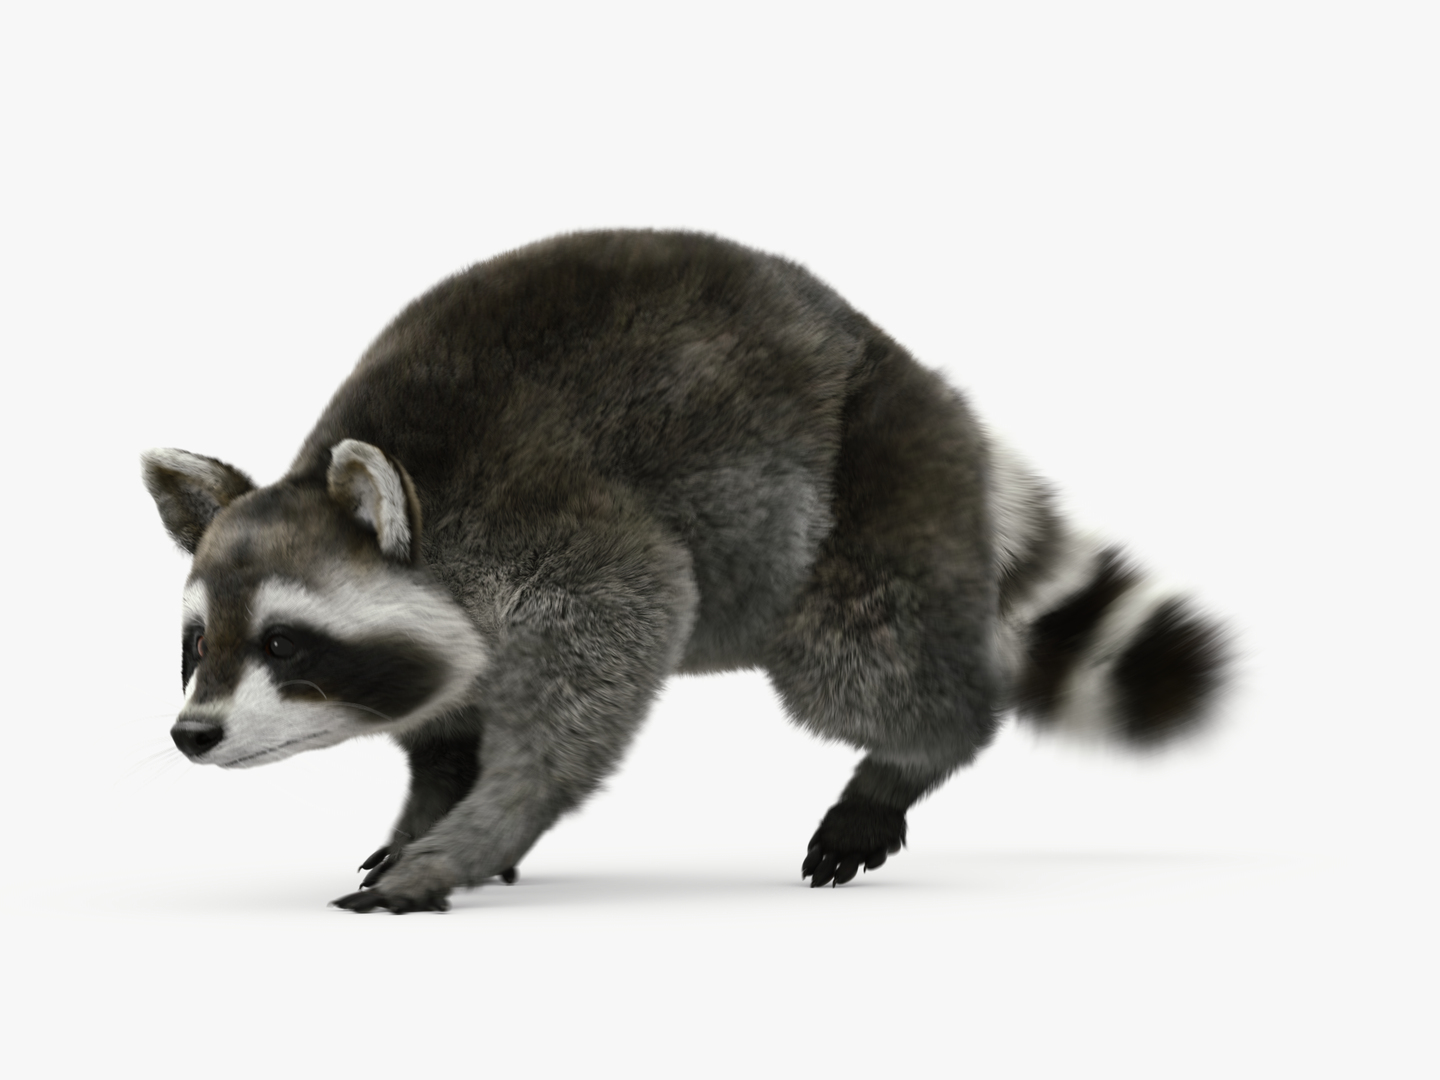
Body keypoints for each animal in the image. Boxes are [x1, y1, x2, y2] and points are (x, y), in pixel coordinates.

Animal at [142, 230, 1230, 912]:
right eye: (196, 645)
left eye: (285, 643)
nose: (193, 735)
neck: (428, 503)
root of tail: (909, 367)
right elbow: (443, 729)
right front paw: (432, 806)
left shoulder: (566, 540)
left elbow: (596, 683)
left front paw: (477, 834)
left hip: (869, 487)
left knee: (861, 664)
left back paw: (912, 757)